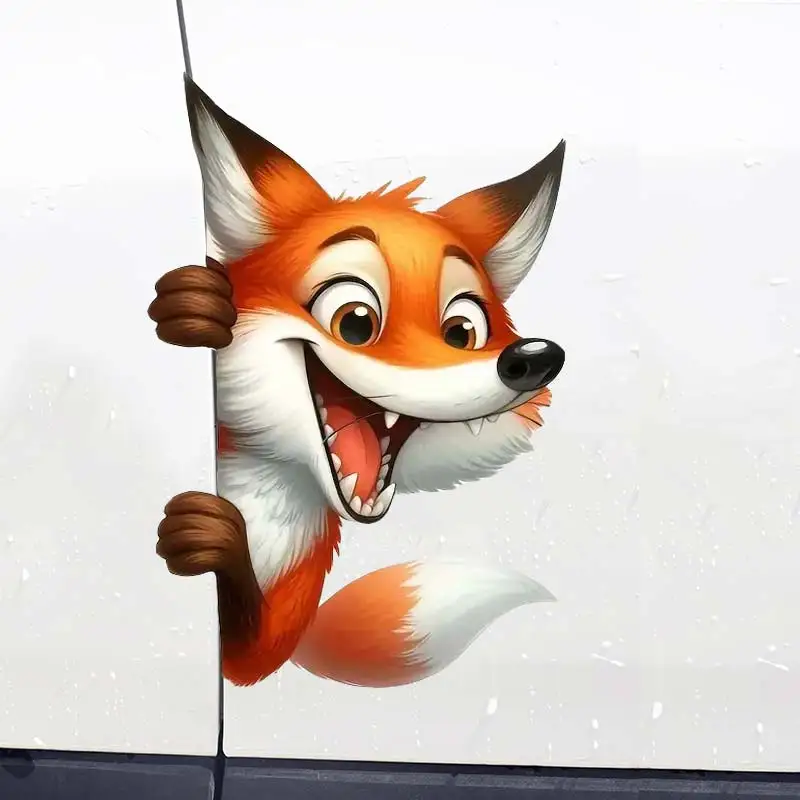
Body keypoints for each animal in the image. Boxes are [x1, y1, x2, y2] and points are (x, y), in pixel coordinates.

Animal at [149, 77, 567, 689]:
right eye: (355, 322)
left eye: (463, 331)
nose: (534, 358)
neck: (262, 500)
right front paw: (192, 307)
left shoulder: (271, 633)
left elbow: (250, 645)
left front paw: (210, 539)